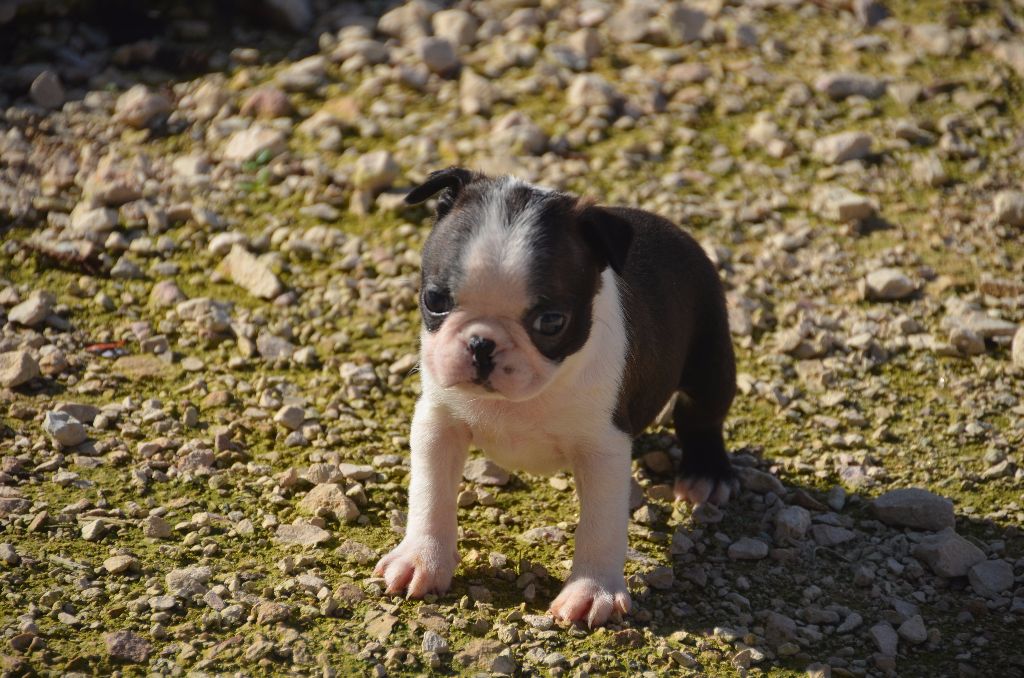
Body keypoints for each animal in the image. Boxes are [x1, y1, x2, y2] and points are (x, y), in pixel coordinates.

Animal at [374, 168, 736, 628]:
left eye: (550, 322)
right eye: (435, 300)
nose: (482, 343)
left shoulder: (603, 448)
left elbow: (600, 527)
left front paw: (592, 591)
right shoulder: (439, 424)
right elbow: (430, 495)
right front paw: (422, 559)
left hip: (710, 357)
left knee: (701, 416)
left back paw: (706, 473)